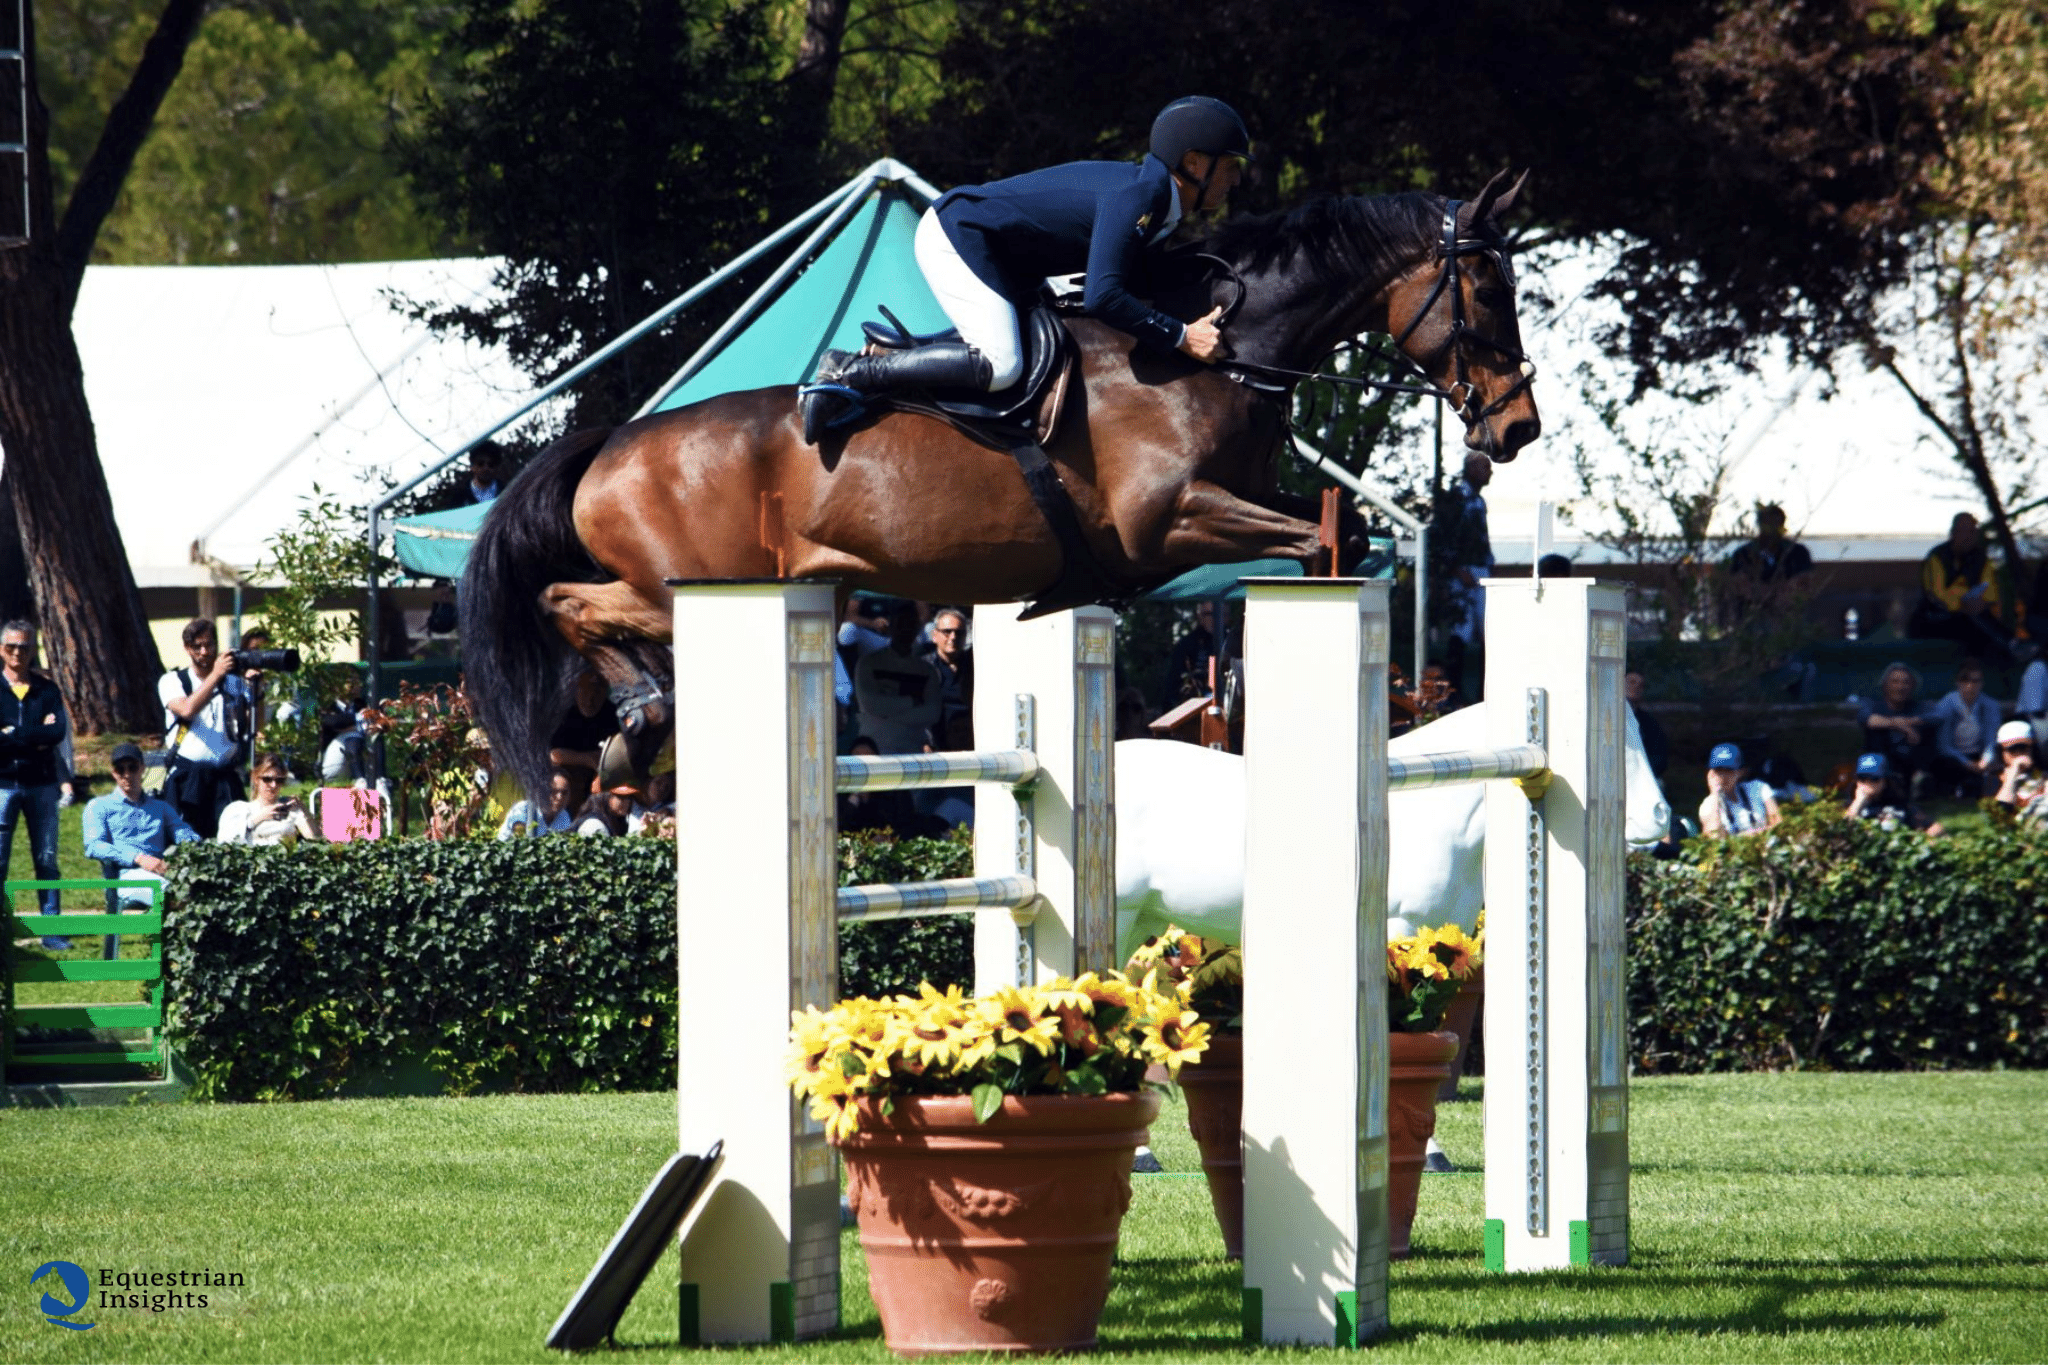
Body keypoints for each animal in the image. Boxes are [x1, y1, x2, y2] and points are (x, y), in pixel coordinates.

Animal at [462, 172, 1540, 800]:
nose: (1518, 428)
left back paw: (635, 727)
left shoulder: (1225, 512)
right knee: (568, 600)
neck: (1215, 356)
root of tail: (610, 442)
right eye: (1490, 290)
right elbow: (1320, 542)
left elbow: (1340, 533)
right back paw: (637, 726)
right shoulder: (1167, 524)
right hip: (695, 585)